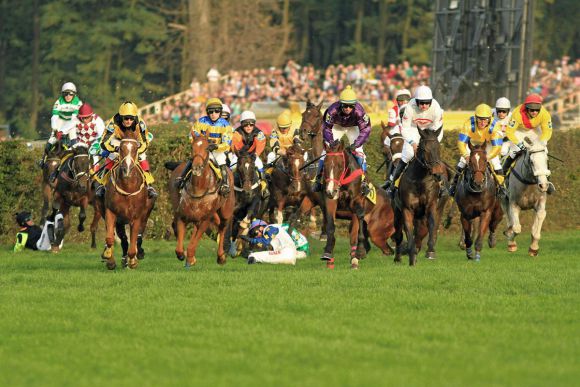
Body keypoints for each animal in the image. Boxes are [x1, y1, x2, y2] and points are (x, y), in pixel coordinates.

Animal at [101, 138, 156, 272]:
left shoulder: (136, 217)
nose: (127, 169)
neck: (127, 187)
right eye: (121, 148)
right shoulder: (111, 212)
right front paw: (108, 257)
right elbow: (110, 238)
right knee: (123, 239)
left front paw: (132, 261)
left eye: (135, 149)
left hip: (145, 216)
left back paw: (137, 254)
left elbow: (134, 240)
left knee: (137, 237)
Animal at [167, 134, 234, 266]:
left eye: (207, 148)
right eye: (192, 147)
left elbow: (192, 246)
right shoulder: (182, 217)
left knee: (222, 228)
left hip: (225, 212)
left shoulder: (205, 220)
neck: (198, 188)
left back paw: (221, 256)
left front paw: (190, 258)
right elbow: (179, 249)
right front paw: (186, 256)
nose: (196, 167)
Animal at [320, 141, 396, 272]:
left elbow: (354, 236)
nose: (330, 191)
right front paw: (328, 253)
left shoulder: (356, 205)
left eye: (340, 165)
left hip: (377, 232)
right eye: (325, 165)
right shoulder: (330, 201)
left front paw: (357, 257)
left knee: (388, 250)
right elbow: (330, 226)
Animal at [392, 127, 446, 266]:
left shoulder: (431, 205)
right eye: (425, 149)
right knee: (399, 234)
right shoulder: (407, 209)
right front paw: (411, 256)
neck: (420, 180)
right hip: (398, 213)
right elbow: (408, 232)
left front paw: (431, 251)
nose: (437, 172)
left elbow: (431, 224)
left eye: (438, 148)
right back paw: (398, 257)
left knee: (419, 232)